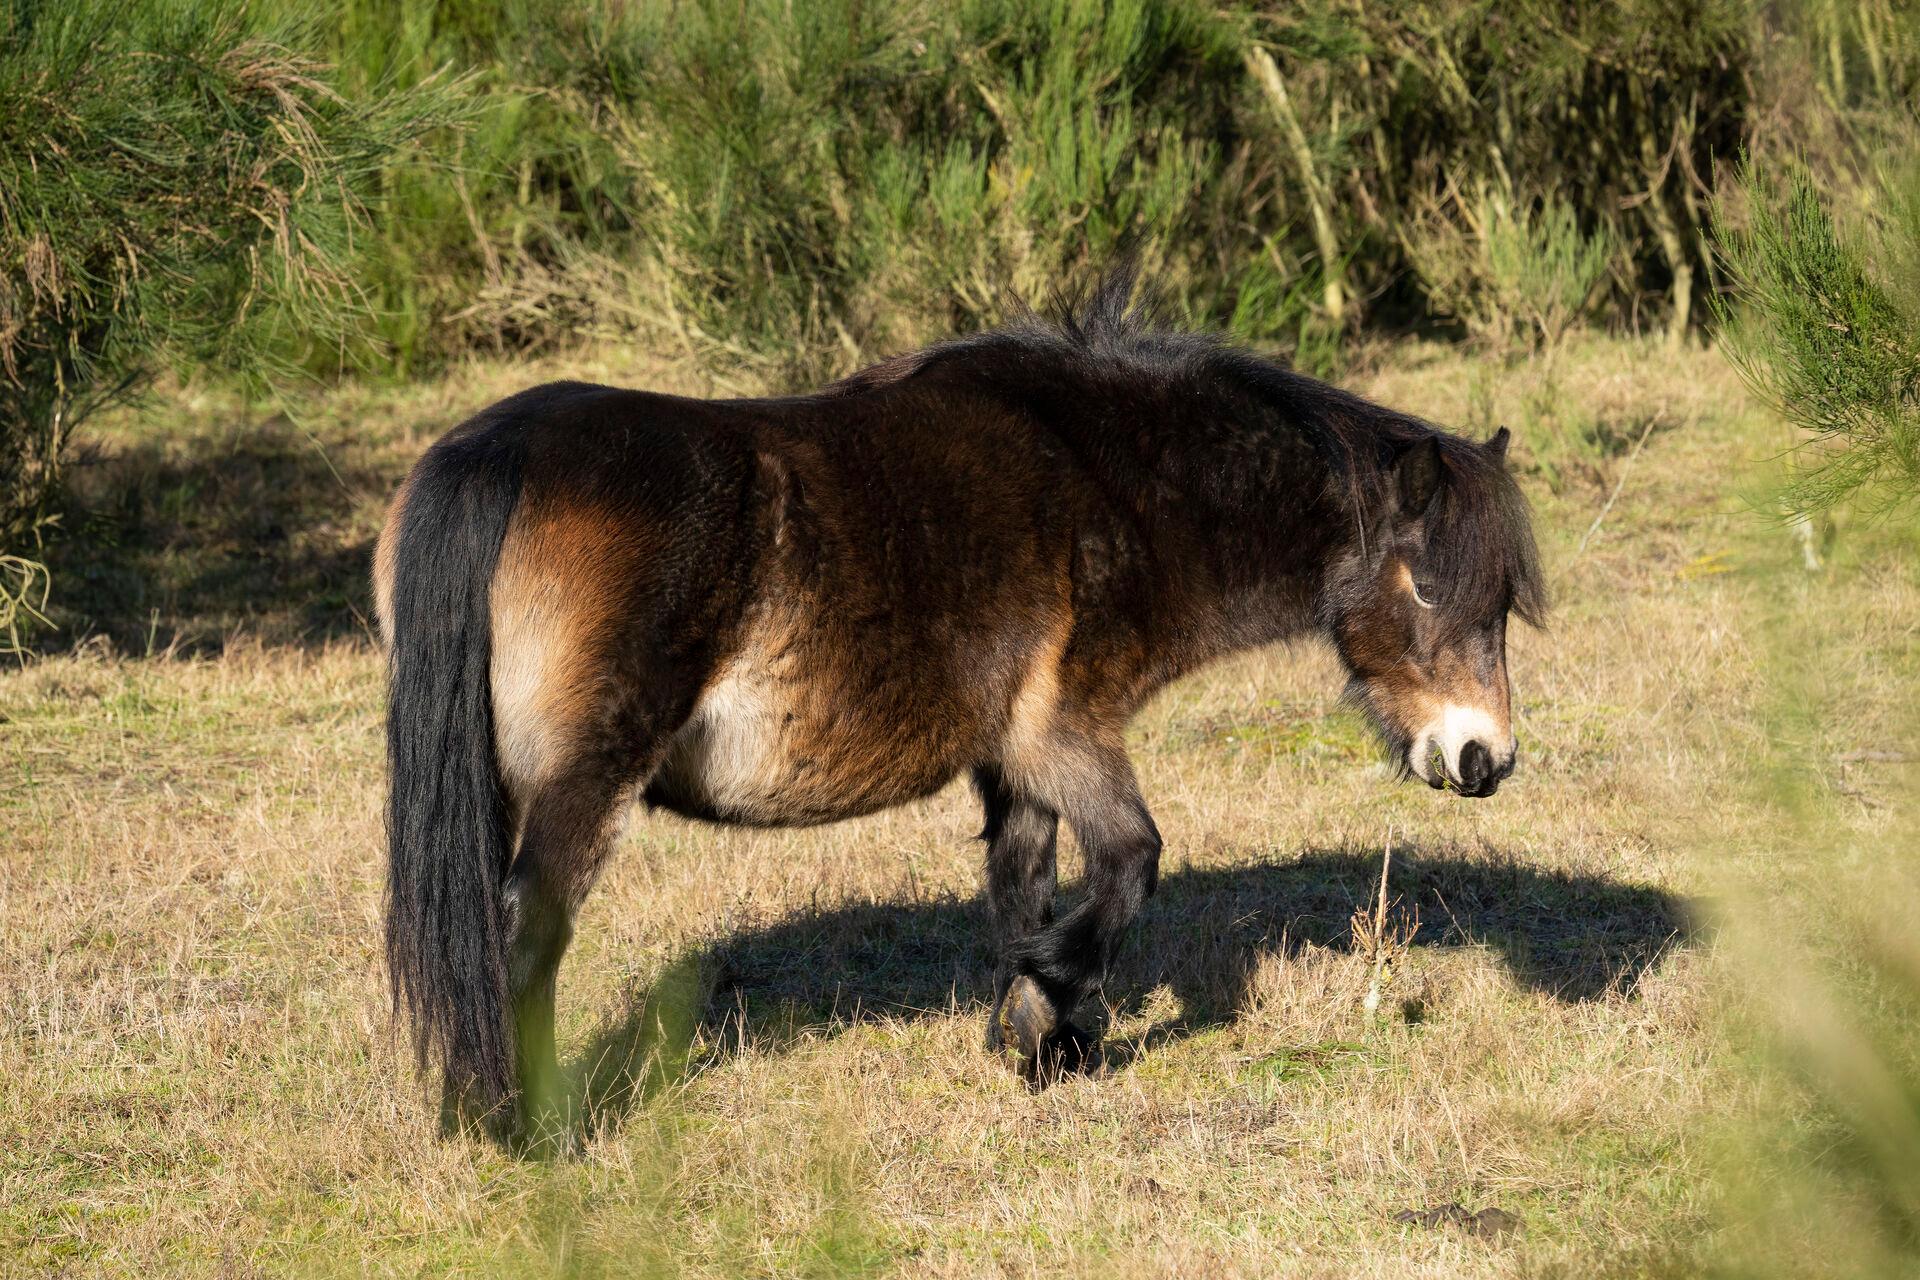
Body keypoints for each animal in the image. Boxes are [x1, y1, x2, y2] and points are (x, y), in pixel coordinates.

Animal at [370, 276, 1543, 1143]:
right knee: (523, 930)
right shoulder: (1064, 731)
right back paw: (527, 1130)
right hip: (587, 780)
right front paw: (1050, 1004)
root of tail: (497, 455)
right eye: (1428, 585)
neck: (1109, 480)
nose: (1484, 758)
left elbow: (1023, 884)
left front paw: (1038, 1040)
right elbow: (1130, 861)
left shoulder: (1015, 760)